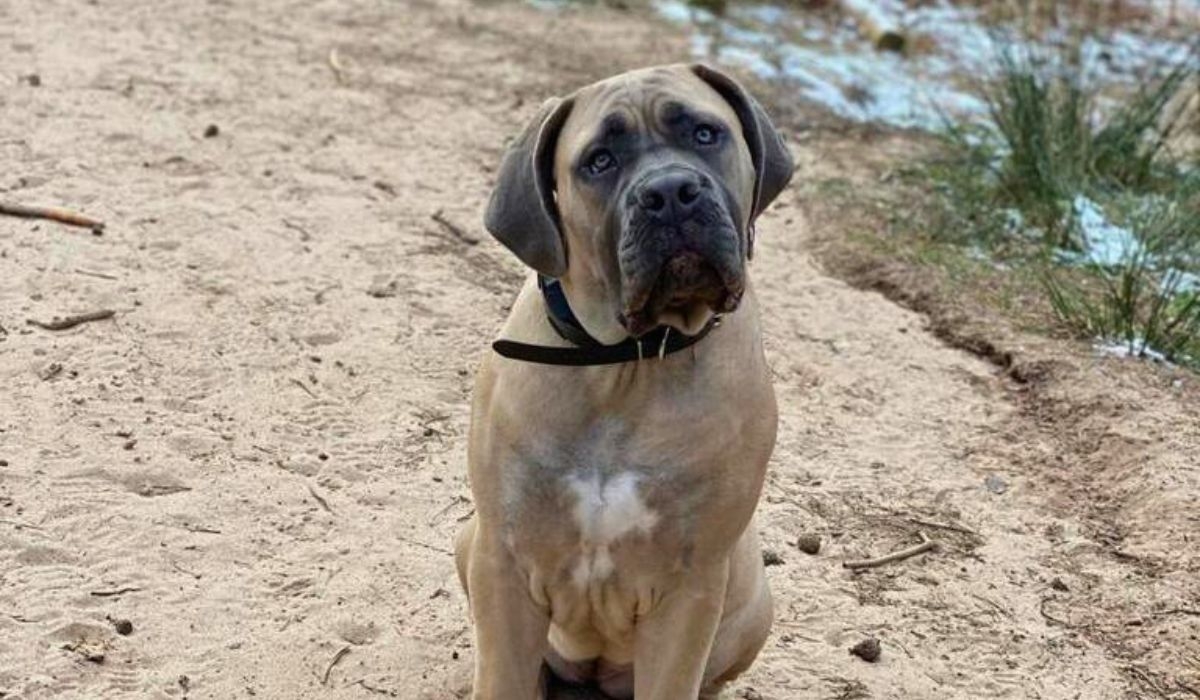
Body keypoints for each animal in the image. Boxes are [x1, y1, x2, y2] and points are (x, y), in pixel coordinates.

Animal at [453, 63, 792, 696]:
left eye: (705, 134)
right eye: (600, 161)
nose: (670, 193)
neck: (625, 364)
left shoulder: (689, 588)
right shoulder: (503, 561)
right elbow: (503, 674)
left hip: (754, 600)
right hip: (470, 539)